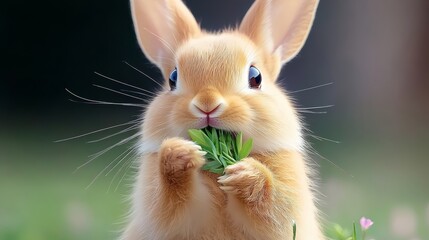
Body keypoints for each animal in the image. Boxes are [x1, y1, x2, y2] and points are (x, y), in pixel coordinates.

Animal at [119, 0, 320, 239]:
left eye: (255, 77)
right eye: (172, 79)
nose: (207, 103)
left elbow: (273, 206)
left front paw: (244, 175)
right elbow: (171, 203)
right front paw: (180, 153)